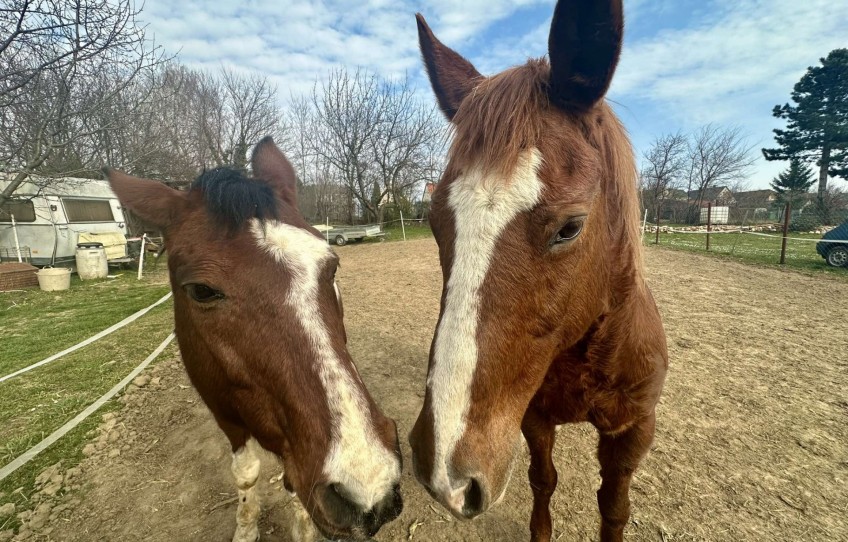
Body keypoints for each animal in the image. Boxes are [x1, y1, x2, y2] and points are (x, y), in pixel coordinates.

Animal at [100, 138, 404, 540]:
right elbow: (245, 474)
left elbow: (293, 485)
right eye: (200, 291)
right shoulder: (221, 410)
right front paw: (246, 527)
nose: (367, 486)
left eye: (333, 266)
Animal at [410, 1, 668, 542]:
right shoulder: (533, 418)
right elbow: (542, 480)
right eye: (435, 223)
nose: (445, 474)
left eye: (570, 228)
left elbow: (614, 506)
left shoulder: (633, 431)